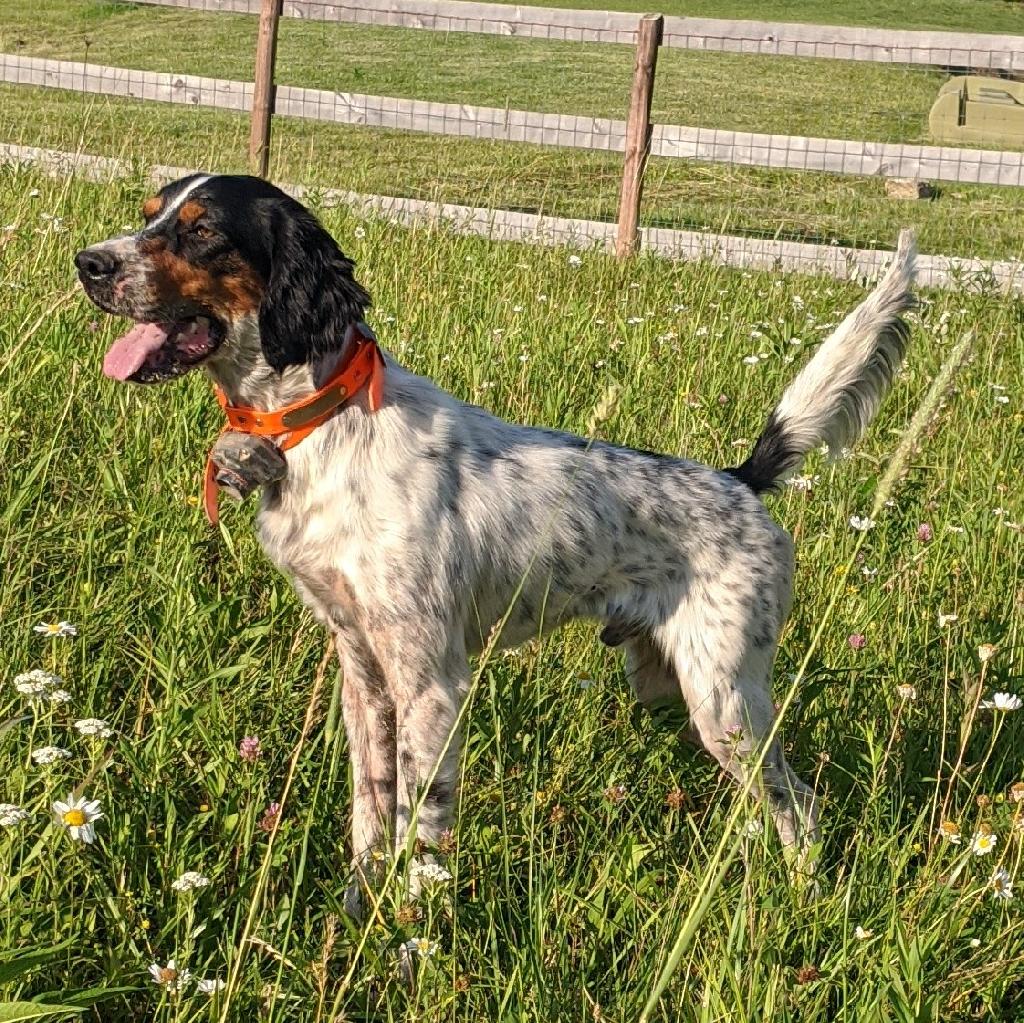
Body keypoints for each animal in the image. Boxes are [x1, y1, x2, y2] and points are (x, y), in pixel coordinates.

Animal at [75, 172, 917, 909]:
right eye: (149, 214)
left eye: (203, 230)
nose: (89, 262)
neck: (324, 425)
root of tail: (742, 480)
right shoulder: (362, 672)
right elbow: (370, 814)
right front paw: (358, 908)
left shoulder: (430, 683)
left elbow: (422, 828)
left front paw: (411, 939)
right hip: (676, 687)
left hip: (724, 697)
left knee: (799, 803)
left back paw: (803, 898)